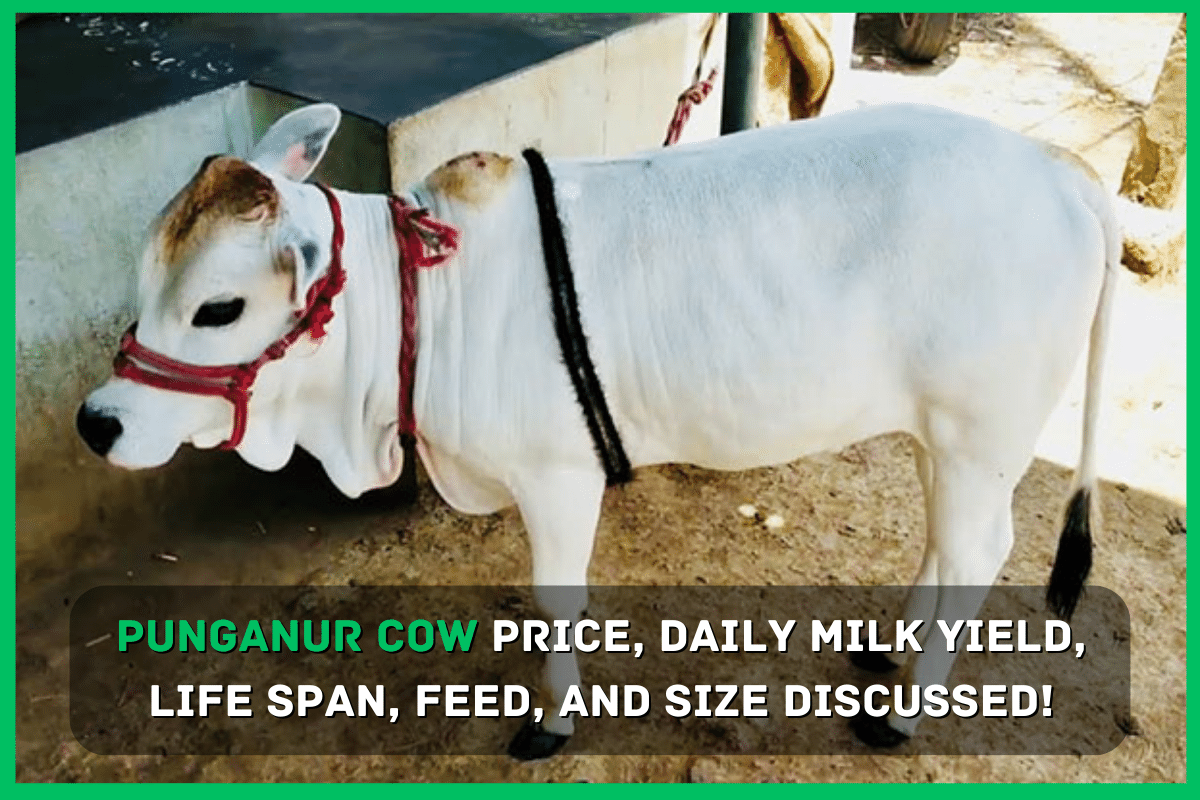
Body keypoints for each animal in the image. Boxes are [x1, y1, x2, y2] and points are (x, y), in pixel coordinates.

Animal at [77, 101, 1118, 759]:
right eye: (141, 277)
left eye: (218, 309)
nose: (98, 422)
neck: (426, 295)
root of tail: (1057, 168)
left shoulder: (557, 475)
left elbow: (556, 598)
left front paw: (552, 723)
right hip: (945, 435)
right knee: (944, 542)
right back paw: (891, 658)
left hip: (983, 432)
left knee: (979, 548)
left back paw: (904, 716)